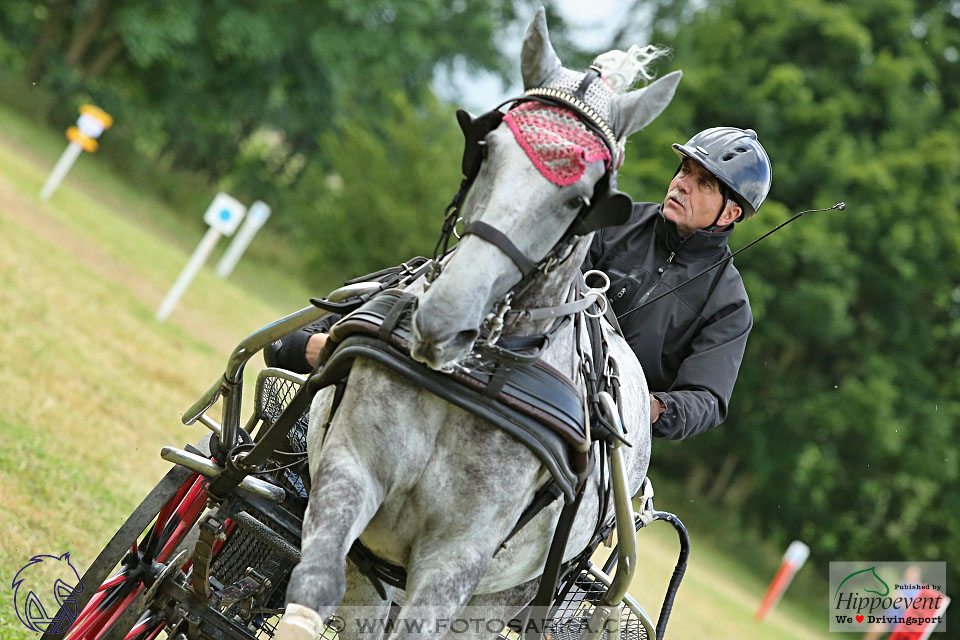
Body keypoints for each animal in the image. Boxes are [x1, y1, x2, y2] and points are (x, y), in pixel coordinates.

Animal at [274, 8, 684, 640]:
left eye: (581, 201)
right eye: (486, 150)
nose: (444, 319)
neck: (471, 379)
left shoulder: (458, 557)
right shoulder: (347, 474)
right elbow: (312, 589)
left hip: (503, 596)